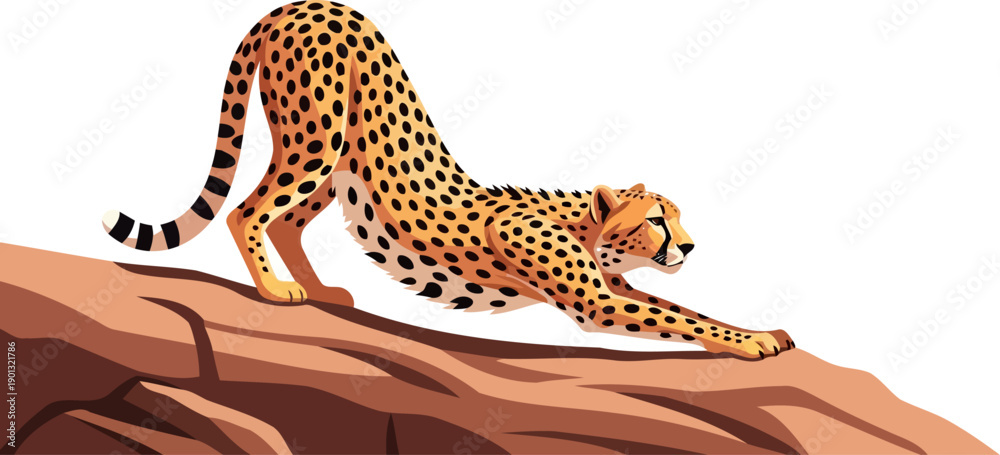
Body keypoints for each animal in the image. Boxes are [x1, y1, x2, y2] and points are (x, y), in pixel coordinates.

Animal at [101, 0, 794, 359]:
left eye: (677, 217)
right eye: (657, 220)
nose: (690, 245)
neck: (588, 229)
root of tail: (303, 3)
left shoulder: (616, 284)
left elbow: (685, 308)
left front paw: (765, 330)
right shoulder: (596, 299)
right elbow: (682, 321)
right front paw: (756, 342)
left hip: (340, 162)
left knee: (289, 219)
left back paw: (320, 290)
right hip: (316, 138)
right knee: (249, 210)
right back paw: (277, 292)